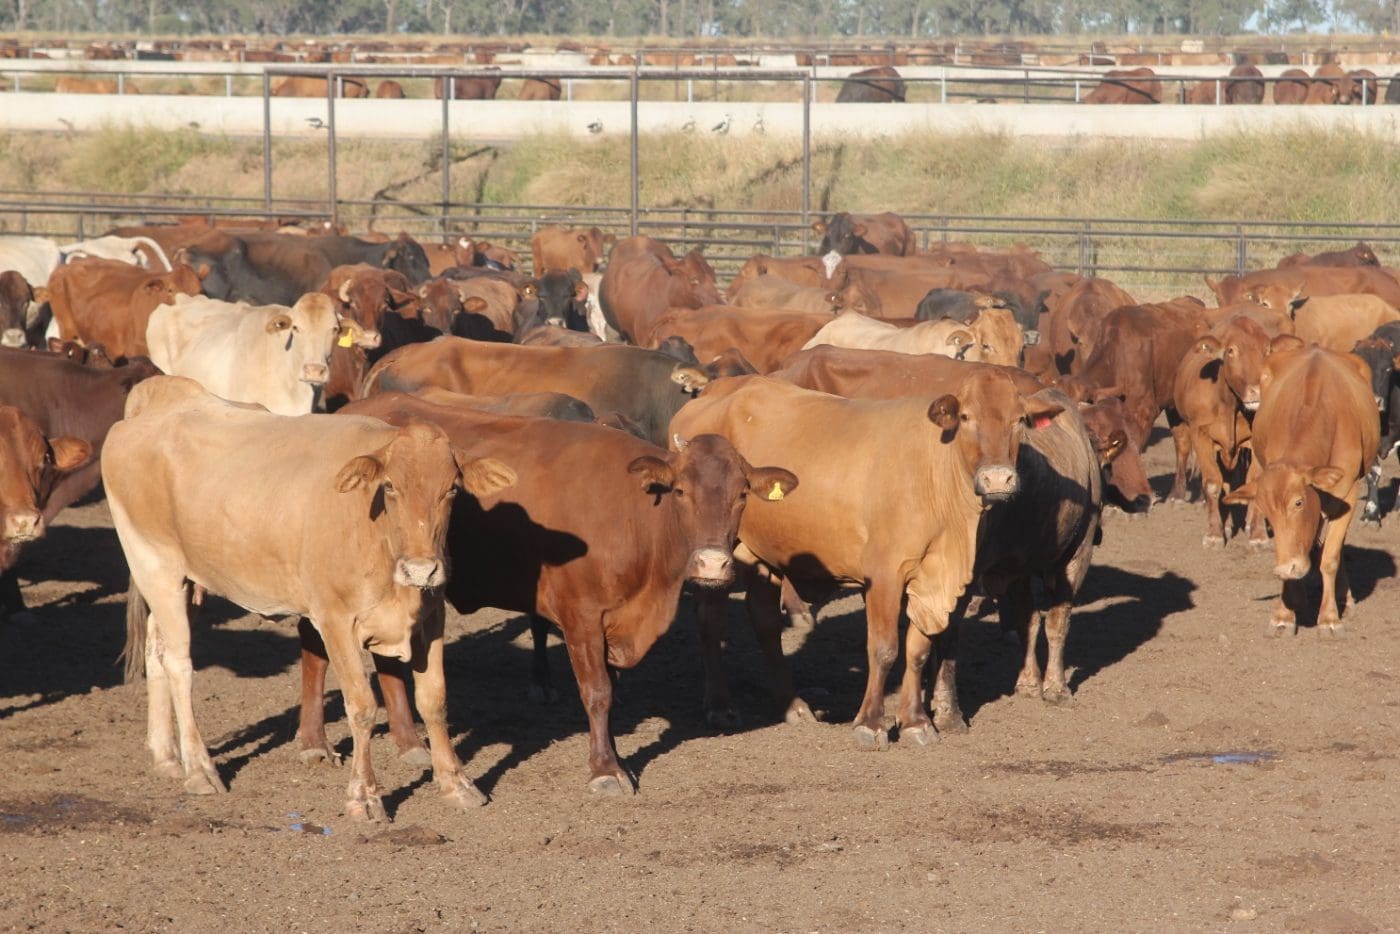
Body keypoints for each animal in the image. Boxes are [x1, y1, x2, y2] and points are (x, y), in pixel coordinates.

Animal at [674, 375, 1058, 750]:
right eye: (966, 417)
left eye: (1019, 420)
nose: (998, 478)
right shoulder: (884, 575)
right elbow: (884, 648)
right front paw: (871, 724)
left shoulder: (928, 579)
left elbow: (918, 650)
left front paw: (916, 722)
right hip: (716, 551)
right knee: (710, 620)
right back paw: (720, 705)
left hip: (763, 553)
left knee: (765, 621)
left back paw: (792, 704)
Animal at [1226, 347, 1377, 638]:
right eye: (1267, 512)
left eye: (1298, 502)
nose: (1287, 568)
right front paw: (1284, 614)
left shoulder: (1348, 495)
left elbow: (1330, 557)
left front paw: (1329, 618)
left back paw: (1342, 596)